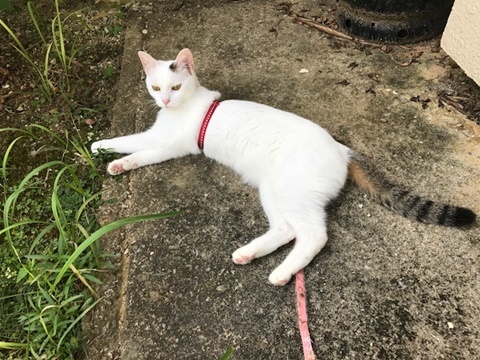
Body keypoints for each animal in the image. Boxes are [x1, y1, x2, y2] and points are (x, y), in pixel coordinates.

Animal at [91, 47, 476, 286]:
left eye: (175, 86)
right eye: (155, 86)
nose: (165, 100)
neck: (183, 109)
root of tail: (343, 149)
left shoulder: (170, 143)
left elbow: (139, 149)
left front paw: (114, 158)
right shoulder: (159, 135)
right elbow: (133, 142)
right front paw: (103, 149)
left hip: (292, 191)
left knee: (314, 235)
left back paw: (281, 273)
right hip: (272, 188)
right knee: (287, 230)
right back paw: (249, 254)